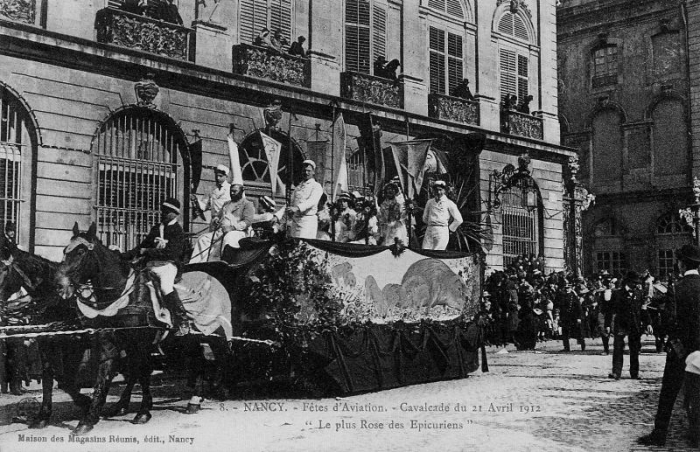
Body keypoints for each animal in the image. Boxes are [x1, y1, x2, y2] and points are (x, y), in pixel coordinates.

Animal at [55, 222, 235, 434]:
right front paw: (89, 419)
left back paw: (220, 387)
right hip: (188, 339)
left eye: (81, 251)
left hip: (215, 331)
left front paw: (143, 412)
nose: (60, 285)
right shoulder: (111, 344)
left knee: (223, 354)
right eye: (64, 251)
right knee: (199, 360)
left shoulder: (141, 344)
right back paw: (195, 400)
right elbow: (104, 377)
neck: (124, 293)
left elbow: (141, 372)